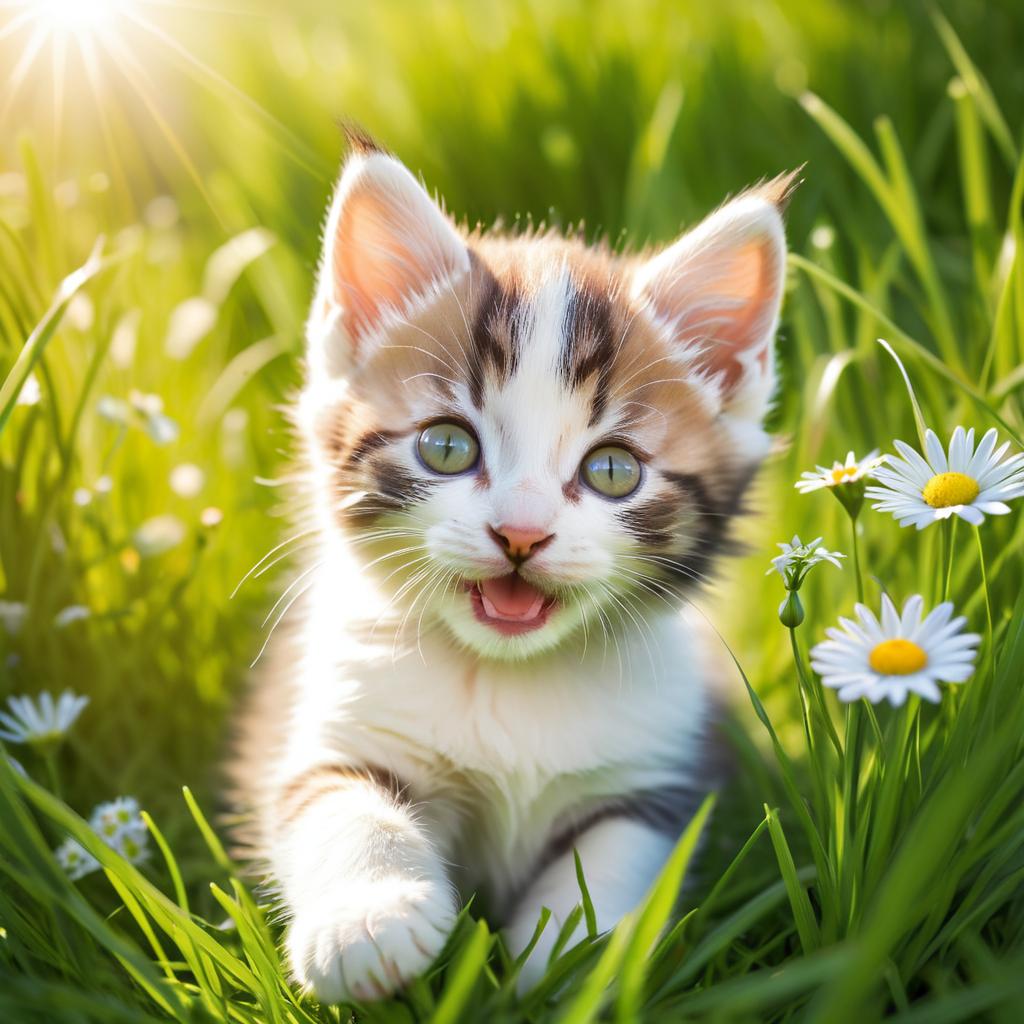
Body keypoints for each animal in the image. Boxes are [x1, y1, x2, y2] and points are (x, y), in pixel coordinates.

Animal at [232, 132, 790, 1003]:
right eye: (446, 446)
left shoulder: (661, 769)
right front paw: (369, 918)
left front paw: (573, 953)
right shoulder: (324, 724)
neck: (507, 677)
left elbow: (618, 852)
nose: (520, 534)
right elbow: (335, 802)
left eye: (613, 471)